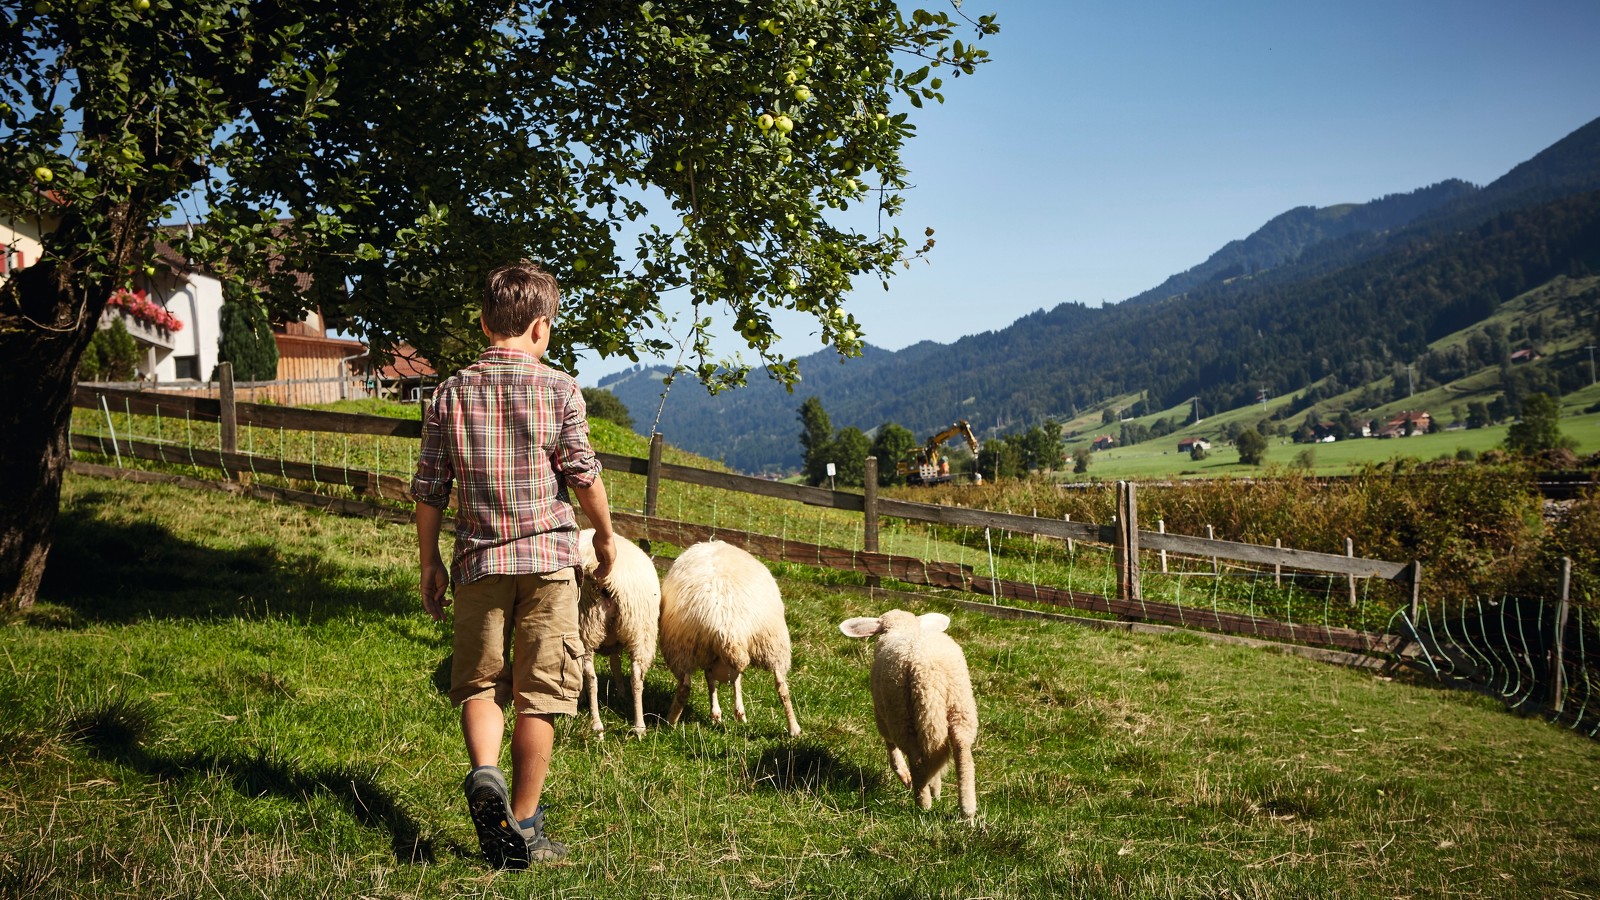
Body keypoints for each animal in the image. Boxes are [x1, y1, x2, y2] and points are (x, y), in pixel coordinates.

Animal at [579, 528, 659, 733]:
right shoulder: (614, 639)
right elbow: (616, 663)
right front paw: (621, 694)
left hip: (586, 627)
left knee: (590, 677)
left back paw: (596, 724)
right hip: (641, 630)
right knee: (637, 676)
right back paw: (639, 726)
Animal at [656, 538, 800, 736]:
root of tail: (726, 624)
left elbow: (715, 680)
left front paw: (720, 715)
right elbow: (730, 680)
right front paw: (733, 714)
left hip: (683, 648)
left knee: (685, 687)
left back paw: (670, 723)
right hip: (773, 643)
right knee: (782, 687)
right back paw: (794, 729)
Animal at [838, 608, 972, 819]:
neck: (903, 627)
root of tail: (928, 672)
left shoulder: (882, 713)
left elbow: (890, 745)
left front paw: (906, 776)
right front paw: (936, 788)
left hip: (901, 713)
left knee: (915, 758)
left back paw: (922, 805)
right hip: (960, 705)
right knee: (962, 750)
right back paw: (967, 813)